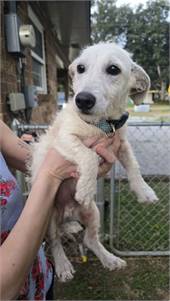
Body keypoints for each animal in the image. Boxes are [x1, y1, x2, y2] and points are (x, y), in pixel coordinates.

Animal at [29, 42, 158, 282]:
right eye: (80, 68)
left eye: (113, 69)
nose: (83, 100)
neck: (101, 124)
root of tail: (68, 215)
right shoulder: (64, 139)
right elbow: (88, 156)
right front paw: (85, 188)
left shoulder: (120, 143)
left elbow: (133, 164)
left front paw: (144, 191)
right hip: (48, 217)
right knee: (55, 241)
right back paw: (63, 265)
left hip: (92, 213)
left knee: (90, 239)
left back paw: (109, 259)